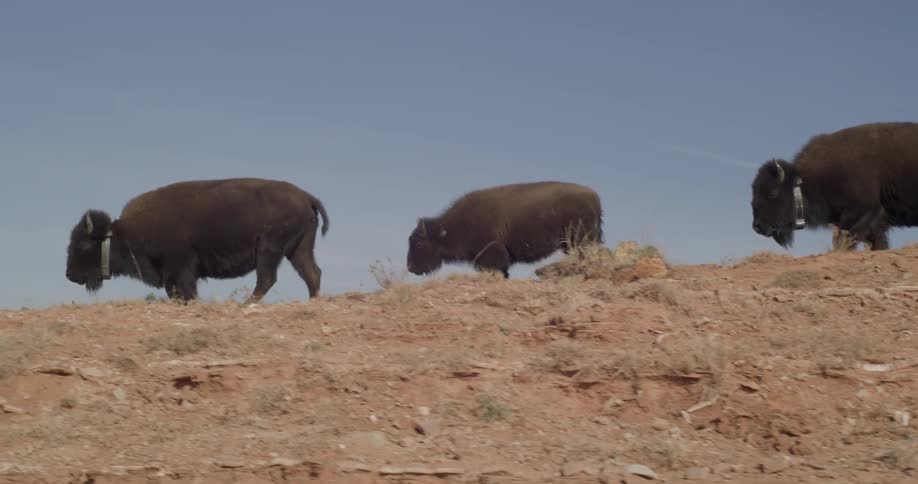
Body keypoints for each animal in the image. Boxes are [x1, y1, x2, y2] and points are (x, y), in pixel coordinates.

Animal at [66, 178, 329, 304]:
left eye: (84, 244)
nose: (70, 275)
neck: (127, 232)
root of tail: (306, 196)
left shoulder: (180, 270)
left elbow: (184, 291)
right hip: (298, 249)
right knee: (312, 273)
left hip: (269, 249)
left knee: (267, 278)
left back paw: (244, 305)